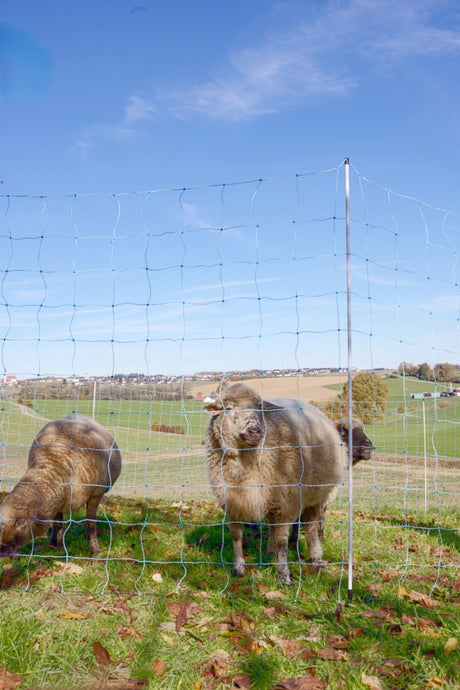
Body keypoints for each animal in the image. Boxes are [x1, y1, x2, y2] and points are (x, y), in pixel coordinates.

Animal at [0, 414, 121, 557]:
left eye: (21, 522)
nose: (2, 552)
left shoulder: (96, 494)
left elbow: (91, 522)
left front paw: (95, 551)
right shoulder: (57, 499)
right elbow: (58, 524)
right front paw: (59, 547)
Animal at [205, 383, 344, 585]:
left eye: (260, 408)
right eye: (228, 408)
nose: (255, 431)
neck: (244, 464)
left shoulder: (288, 504)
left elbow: (282, 541)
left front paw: (283, 575)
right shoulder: (233, 502)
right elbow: (237, 537)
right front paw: (238, 569)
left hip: (320, 495)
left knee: (311, 527)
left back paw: (316, 560)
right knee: (272, 524)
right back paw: (271, 553)